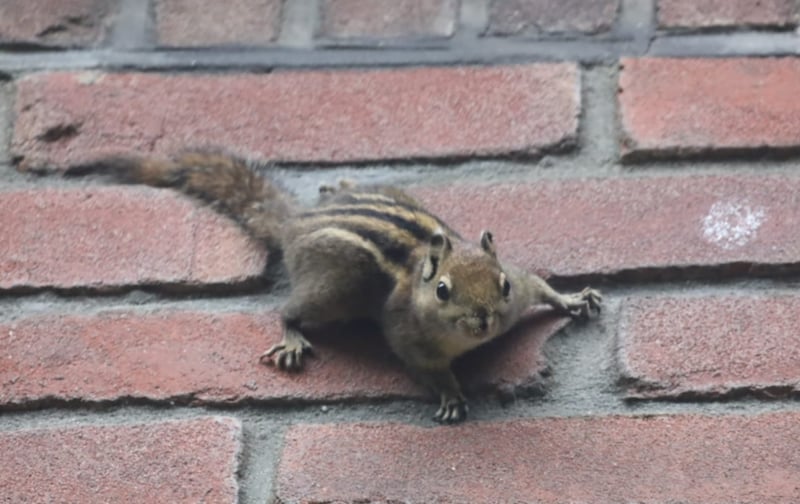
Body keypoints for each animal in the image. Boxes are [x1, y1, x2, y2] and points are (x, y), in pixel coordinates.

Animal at [77, 151, 601, 423]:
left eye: (502, 286)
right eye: (443, 291)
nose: (485, 321)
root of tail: (295, 224)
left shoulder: (521, 283)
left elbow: (541, 286)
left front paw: (575, 298)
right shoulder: (408, 336)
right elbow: (425, 368)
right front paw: (451, 394)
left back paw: (337, 184)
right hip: (331, 291)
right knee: (291, 309)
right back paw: (291, 337)